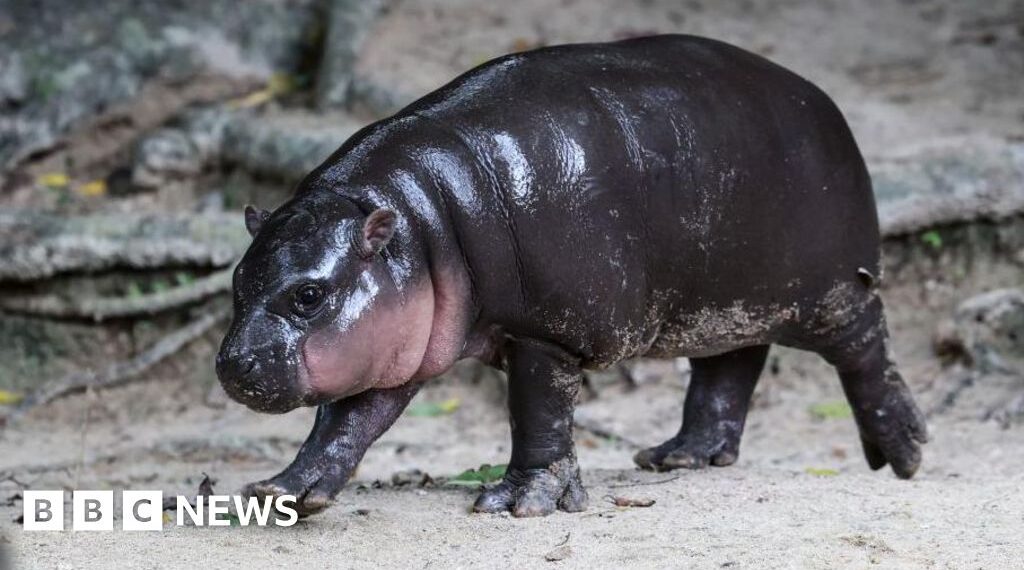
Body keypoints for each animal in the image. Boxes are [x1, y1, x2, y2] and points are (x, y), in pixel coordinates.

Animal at [216, 34, 928, 518]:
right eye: (236, 280)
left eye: (310, 295)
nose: (232, 365)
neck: (421, 221)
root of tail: (821, 101)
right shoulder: (394, 343)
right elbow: (347, 422)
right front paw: (282, 493)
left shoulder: (548, 330)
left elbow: (539, 416)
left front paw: (520, 504)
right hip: (724, 296)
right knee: (730, 363)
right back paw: (677, 458)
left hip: (829, 291)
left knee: (866, 346)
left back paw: (903, 454)